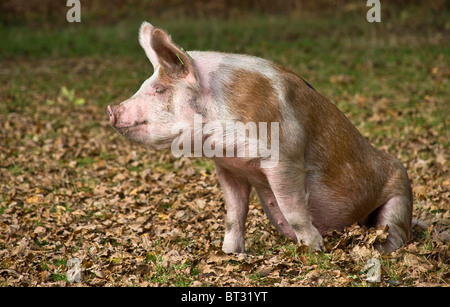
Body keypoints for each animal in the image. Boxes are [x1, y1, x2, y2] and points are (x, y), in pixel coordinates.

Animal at [107, 21, 414, 253]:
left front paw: (313, 251)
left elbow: (294, 212)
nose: (112, 109)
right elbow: (234, 215)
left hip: (401, 192)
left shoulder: (285, 157)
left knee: (395, 232)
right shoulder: (229, 168)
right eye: (145, 85)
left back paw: (376, 250)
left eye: (159, 90)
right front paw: (230, 254)